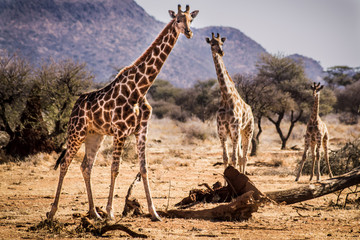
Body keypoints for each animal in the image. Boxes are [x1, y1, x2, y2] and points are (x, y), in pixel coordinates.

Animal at [45, 4, 200, 221]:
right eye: (177, 19)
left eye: (190, 20)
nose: (189, 32)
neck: (140, 89)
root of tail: (75, 106)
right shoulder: (120, 131)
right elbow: (115, 168)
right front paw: (110, 212)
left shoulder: (141, 130)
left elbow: (143, 168)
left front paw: (154, 212)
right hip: (76, 132)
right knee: (65, 163)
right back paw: (52, 212)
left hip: (95, 135)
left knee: (86, 166)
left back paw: (94, 213)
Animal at [207, 32, 255, 174]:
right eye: (212, 43)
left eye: (222, 43)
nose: (221, 52)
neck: (226, 96)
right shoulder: (222, 131)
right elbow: (226, 158)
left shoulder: (234, 128)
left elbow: (234, 159)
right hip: (237, 133)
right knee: (240, 155)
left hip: (247, 131)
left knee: (244, 157)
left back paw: (244, 174)